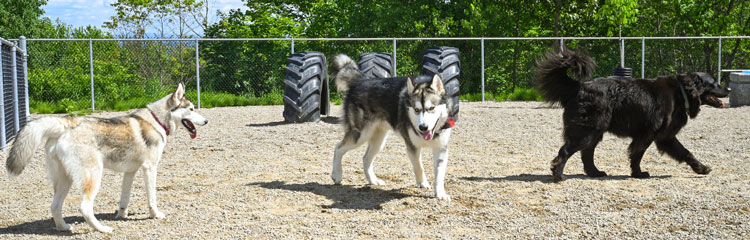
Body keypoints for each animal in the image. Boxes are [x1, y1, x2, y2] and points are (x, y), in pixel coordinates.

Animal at [536, 50, 732, 182]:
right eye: (714, 83)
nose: (729, 88)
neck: (682, 92)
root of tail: (580, 87)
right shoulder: (648, 135)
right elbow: (638, 154)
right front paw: (638, 173)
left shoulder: (665, 137)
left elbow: (686, 152)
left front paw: (701, 168)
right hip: (586, 131)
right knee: (566, 151)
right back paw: (559, 175)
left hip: (595, 131)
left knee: (587, 154)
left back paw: (595, 173)